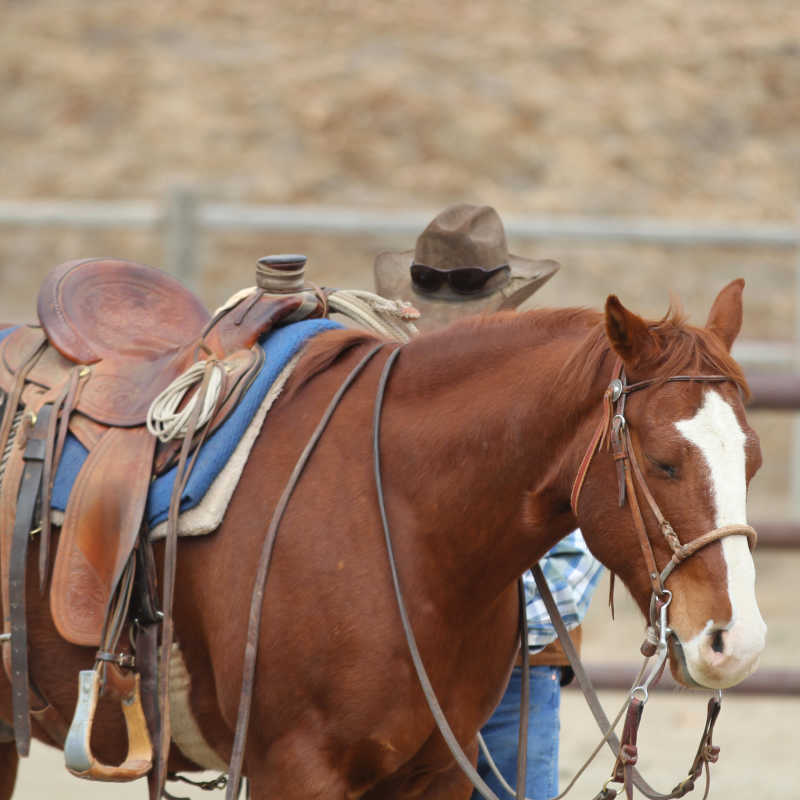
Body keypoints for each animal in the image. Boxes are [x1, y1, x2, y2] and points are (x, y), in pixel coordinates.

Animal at [0, 278, 764, 796]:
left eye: (753, 458)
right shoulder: (294, 770)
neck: (402, 518)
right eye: (663, 462)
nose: (738, 643)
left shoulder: (439, 769)